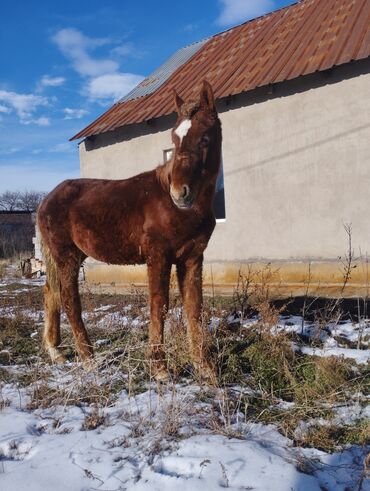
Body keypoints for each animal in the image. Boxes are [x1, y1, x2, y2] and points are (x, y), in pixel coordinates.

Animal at [37, 80, 221, 380]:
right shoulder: (158, 257)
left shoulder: (192, 258)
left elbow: (194, 308)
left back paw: (56, 351)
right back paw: (89, 359)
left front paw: (204, 367)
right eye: (174, 139)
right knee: (68, 300)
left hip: (66, 257)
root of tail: (46, 199)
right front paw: (159, 369)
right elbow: (159, 306)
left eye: (204, 138)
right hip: (66, 257)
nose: (179, 193)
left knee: (50, 293)